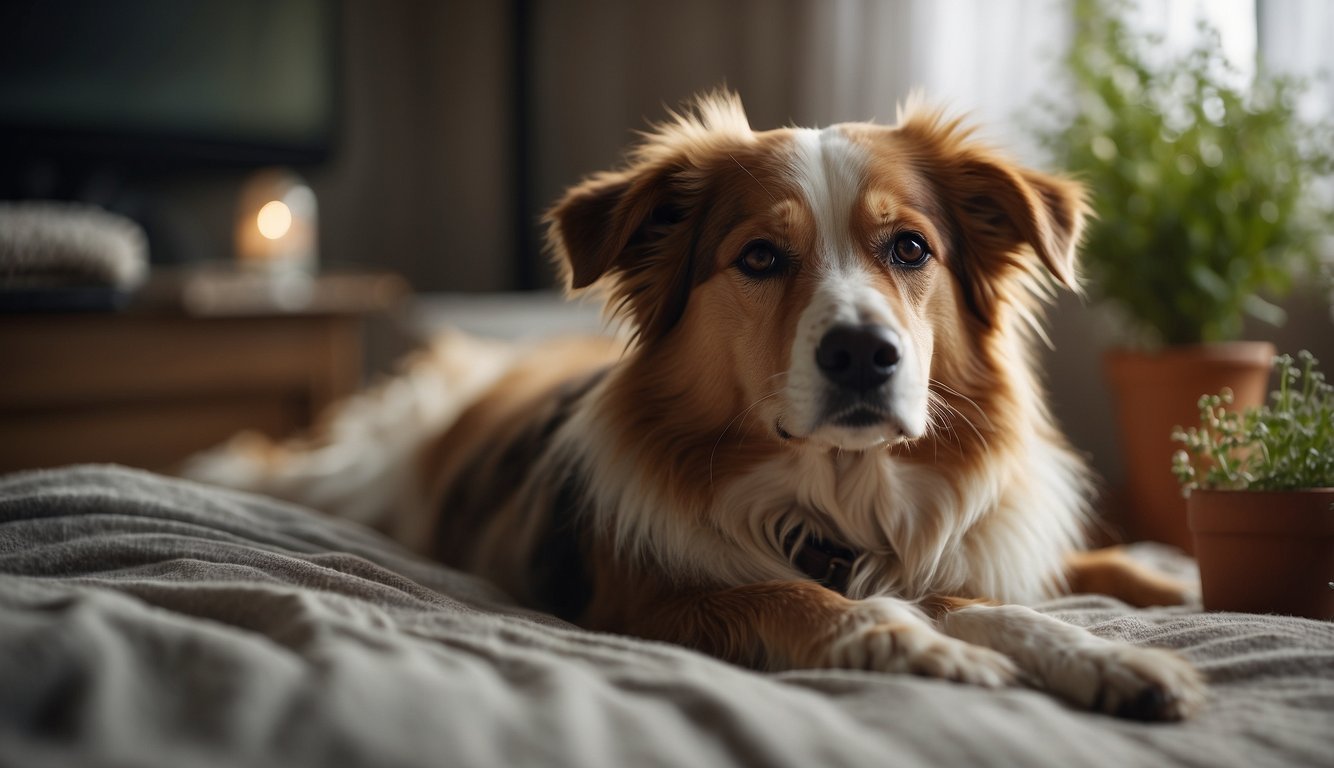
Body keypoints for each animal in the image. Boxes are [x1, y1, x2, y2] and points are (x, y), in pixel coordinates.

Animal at [190, 93, 1211, 725]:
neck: (838, 500)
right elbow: (790, 596)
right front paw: (920, 646)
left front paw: (1108, 656)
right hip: (364, 472)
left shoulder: (950, 556)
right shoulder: (639, 599)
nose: (863, 355)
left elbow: (987, 597)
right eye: (759, 257)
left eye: (911, 248)